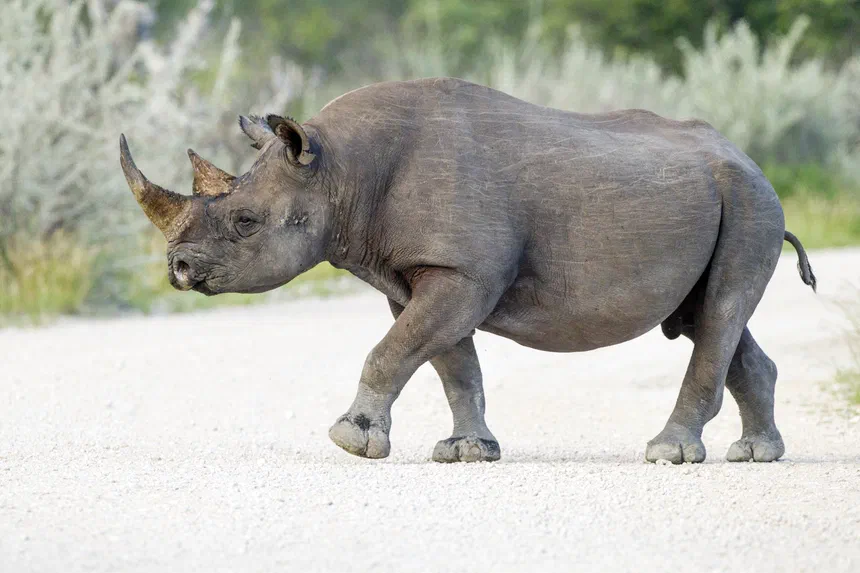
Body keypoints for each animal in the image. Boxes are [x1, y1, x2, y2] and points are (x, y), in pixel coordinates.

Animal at [120, 77, 816, 464]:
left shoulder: (463, 272)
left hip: (752, 201)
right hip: (730, 198)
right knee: (709, 318)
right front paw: (467, 452)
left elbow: (393, 351)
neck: (338, 168)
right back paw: (756, 455)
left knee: (719, 313)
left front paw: (351, 441)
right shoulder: (423, 273)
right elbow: (447, 361)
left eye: (245, 223)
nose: (178, 268)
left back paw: (669, 454)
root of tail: (747, 159)